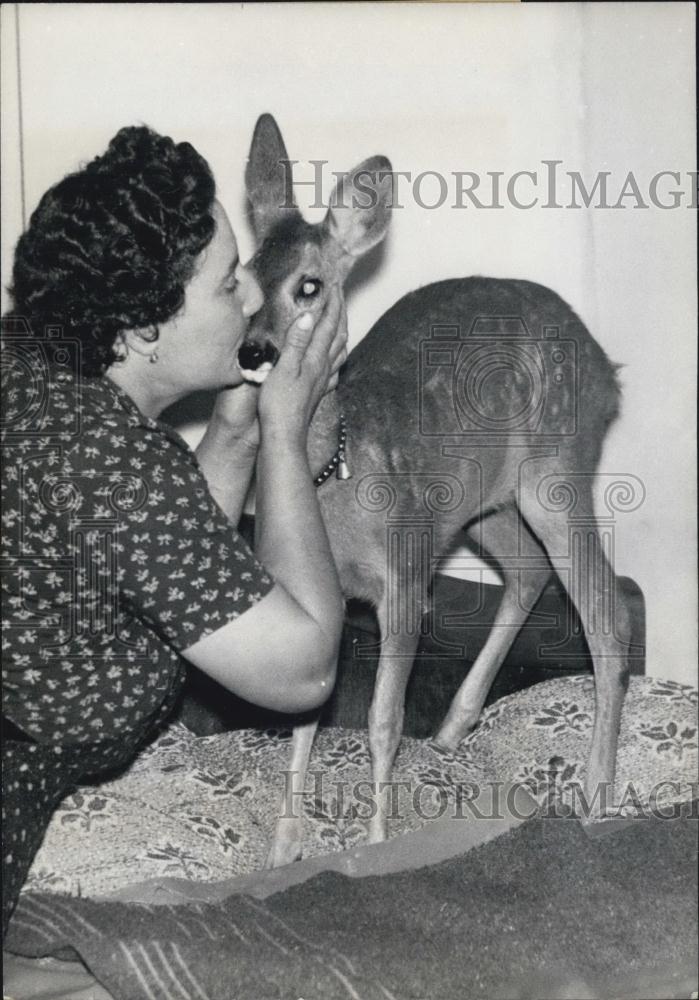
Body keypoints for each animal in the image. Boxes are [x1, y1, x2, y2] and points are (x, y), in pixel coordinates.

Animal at [243, 115, 636, 868]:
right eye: (242, 282)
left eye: (308, 286)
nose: (254, 352)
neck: (335, 474)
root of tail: (609, 371)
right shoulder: (326, 596)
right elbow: (307, 710)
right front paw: (282, 846)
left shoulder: (402, 576)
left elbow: (382, 717)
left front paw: (374, 842)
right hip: (474, 504)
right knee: (527, 570)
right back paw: (455, 728)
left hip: (553, 473)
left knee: (607, 613)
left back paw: (597, 798)